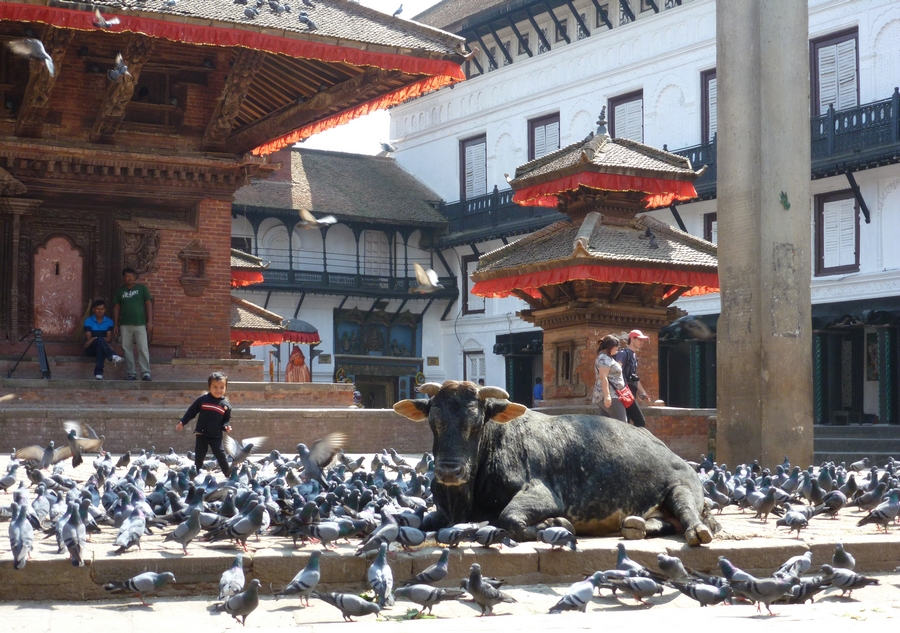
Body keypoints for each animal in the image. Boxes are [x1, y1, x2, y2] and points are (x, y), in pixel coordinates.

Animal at [393, 381, 718, 546]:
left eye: (476, 423)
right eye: (433, 421)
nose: (449, 470)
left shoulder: (542, 494)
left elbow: (510, 518)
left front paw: (555, 523)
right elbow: (419, 520)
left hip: (682, 489)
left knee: (689, 516)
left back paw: (697, 532)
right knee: (660, 522)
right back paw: (637, 525)